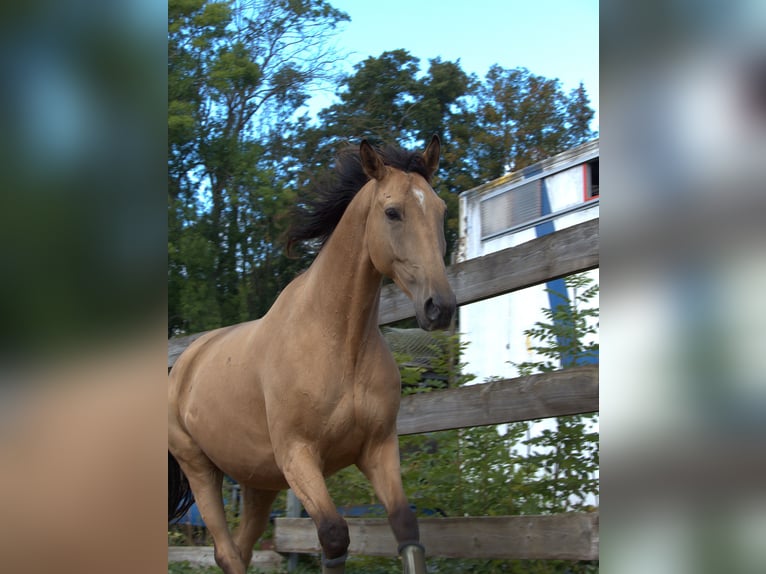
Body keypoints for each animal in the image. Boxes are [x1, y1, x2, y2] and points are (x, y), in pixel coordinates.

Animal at [169, 136, 456, 574]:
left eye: (440, 210)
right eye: (392, 212)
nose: (439, 307)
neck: (338, 342)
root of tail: (182, 364)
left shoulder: (378, 447)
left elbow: (406, 527)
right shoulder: (299, 456)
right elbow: (334, 536)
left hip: (257, 482)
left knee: (241, 548)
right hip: (201, 469)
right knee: (227, 552)